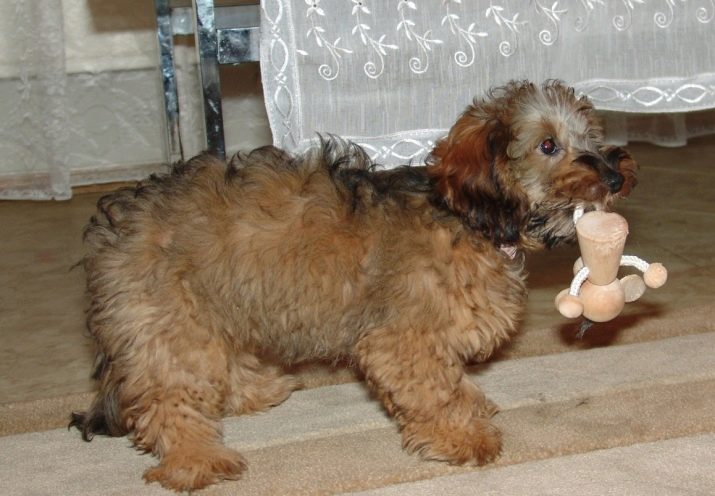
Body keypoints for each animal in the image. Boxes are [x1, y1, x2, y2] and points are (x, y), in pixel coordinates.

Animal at [70, 80, 637, 491]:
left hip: (207, 309)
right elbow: (436, 389)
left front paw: (471, 409)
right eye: (548, 144)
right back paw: (196, 460)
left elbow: (455, 382)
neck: (467, 220)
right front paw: (463, 435)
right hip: (170, 320)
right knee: (167, 399)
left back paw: (253, 391)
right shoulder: (404, 340)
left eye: (590, 134)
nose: (616, 175)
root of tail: (115, 226)